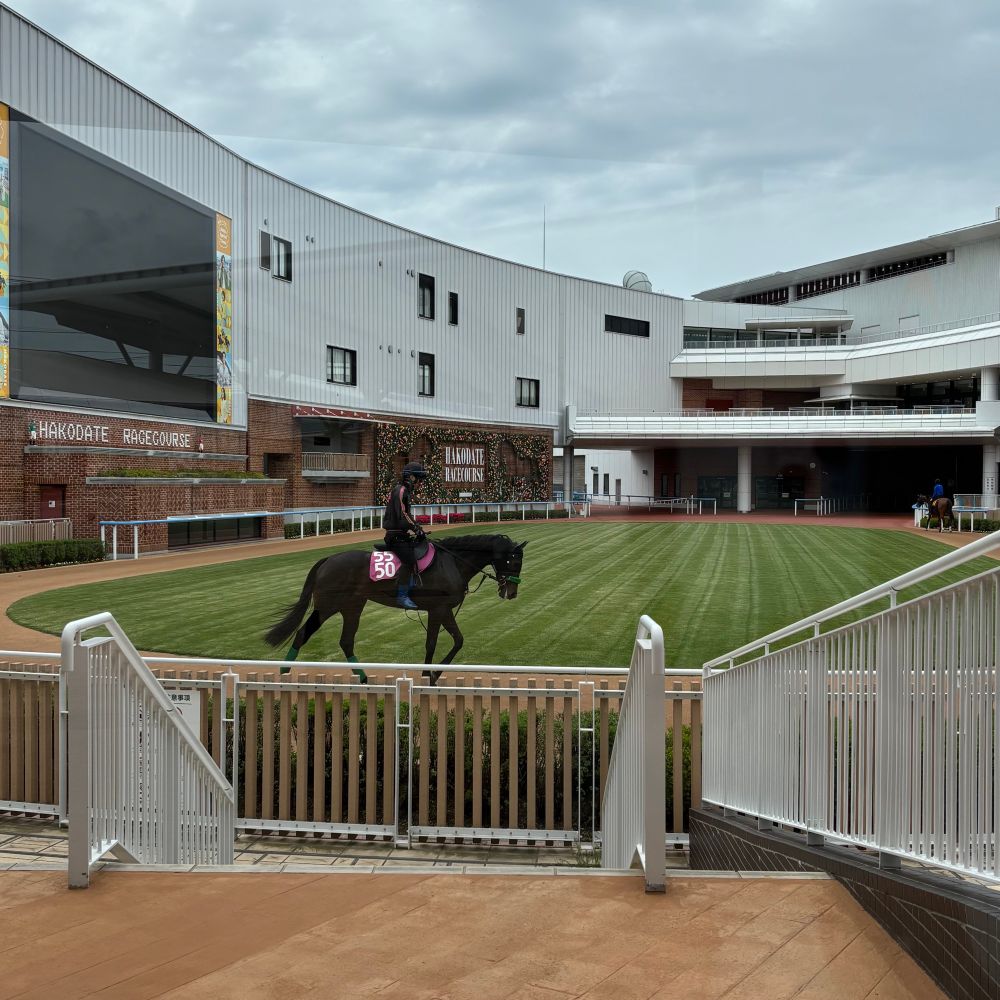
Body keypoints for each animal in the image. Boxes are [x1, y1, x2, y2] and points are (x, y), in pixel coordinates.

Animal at [264, 534, 527, 685]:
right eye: (512, 561)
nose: (512, 593)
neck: (452, 562)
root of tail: (328, 560)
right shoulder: (438, 609)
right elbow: (439, 642)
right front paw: (431, 675)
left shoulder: (441, 610)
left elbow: (451, 641)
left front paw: (431, 674)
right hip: (328, 606)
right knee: (303, 633)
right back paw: (284, 671)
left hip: (352, 607)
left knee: (346, 641)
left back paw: (363, 677)